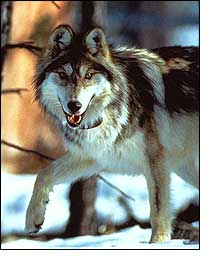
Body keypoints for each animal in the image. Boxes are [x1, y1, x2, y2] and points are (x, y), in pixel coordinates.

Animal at [25, 23, 200, 242]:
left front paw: (157, 243)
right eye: (63, 75)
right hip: (187, 169)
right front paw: (33, 220)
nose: (75, 105)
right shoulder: (92, 156)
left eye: (88, 76)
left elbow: (158, 212)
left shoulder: (155, 161)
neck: (107, 112)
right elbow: (43, 175)